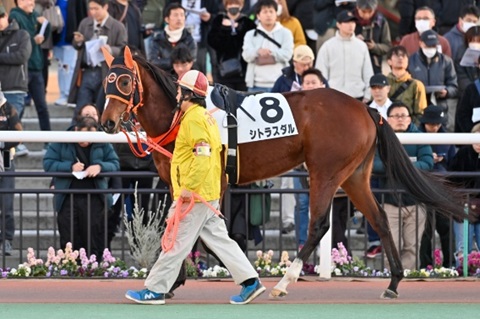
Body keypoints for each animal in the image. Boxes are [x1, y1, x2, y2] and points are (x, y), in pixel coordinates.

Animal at [99, 47, 466, 300]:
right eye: (106, 81)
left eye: (125, 80)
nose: (106, 122)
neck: (179, 114)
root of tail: (365, 108)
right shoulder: (181, 181)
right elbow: (188, 228)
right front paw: (176, 279)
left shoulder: (211, 179)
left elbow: (196, 229)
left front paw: (181, 279)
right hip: (354, 175)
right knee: (380, 219)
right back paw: (393, 281)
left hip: (325, 171)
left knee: (318, 225)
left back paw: (285, 282)